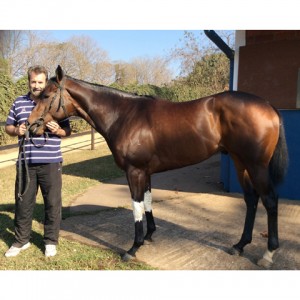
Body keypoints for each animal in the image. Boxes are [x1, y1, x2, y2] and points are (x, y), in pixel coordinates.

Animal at [28, 65, 288, 268]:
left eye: (46, 95)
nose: (30, 126)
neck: (123, 115)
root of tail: (268, 106)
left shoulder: (134, 171)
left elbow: (136, 206)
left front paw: (133, 248)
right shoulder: (146, 172)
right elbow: (148, 202)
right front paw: (150, 235)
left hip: (256, 165)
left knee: (270, 200)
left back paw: (268, 254)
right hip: (240, 162)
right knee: (251, 200)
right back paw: (240, 245)